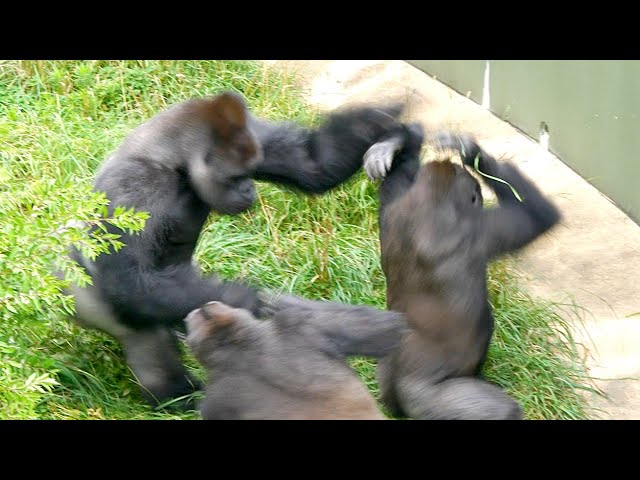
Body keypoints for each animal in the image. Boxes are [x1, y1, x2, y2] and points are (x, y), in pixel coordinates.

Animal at [364, 124, 560, 420]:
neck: (434, 199)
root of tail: (400, 386)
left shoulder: (394, 209)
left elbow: (399, 179)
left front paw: (392, 146)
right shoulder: (481, 229)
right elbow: (538, 215)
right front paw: (473, 152)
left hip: (386, 374)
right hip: (430, 400)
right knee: (502, 410)